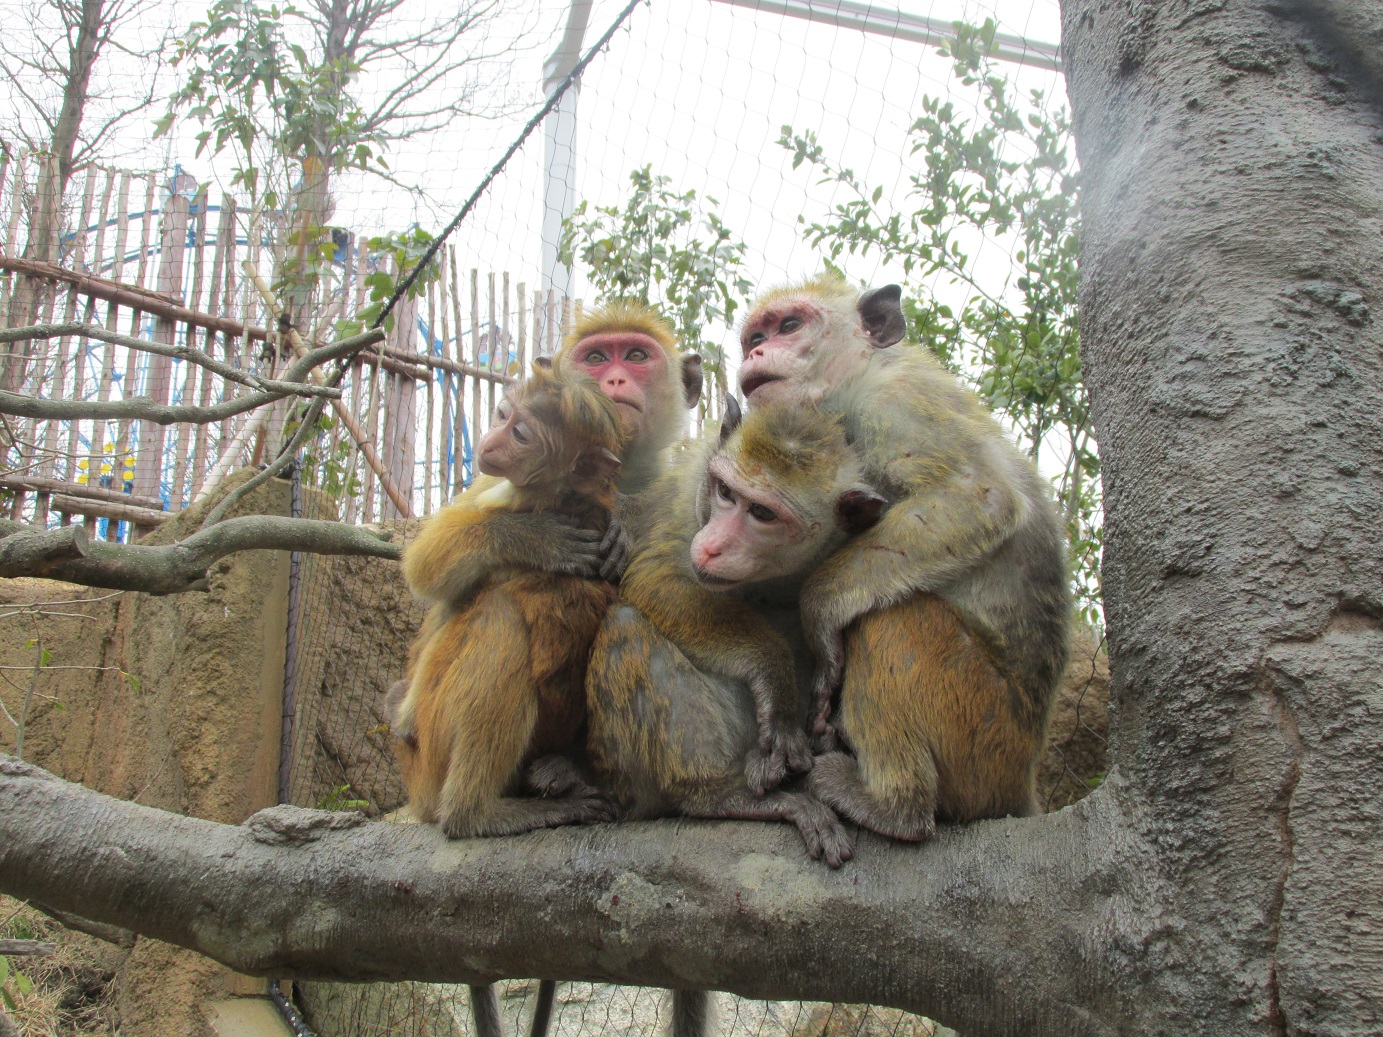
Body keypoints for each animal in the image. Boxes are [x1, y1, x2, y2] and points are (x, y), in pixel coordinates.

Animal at [735, 276, 1067, 846]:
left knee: (892, 618)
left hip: (984, 737)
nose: (756, 351)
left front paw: (819, 609)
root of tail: (1023, 777)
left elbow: (980, 497)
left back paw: (894, 806)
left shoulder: (894, 405)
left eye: (789, 326)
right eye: (754, 336)